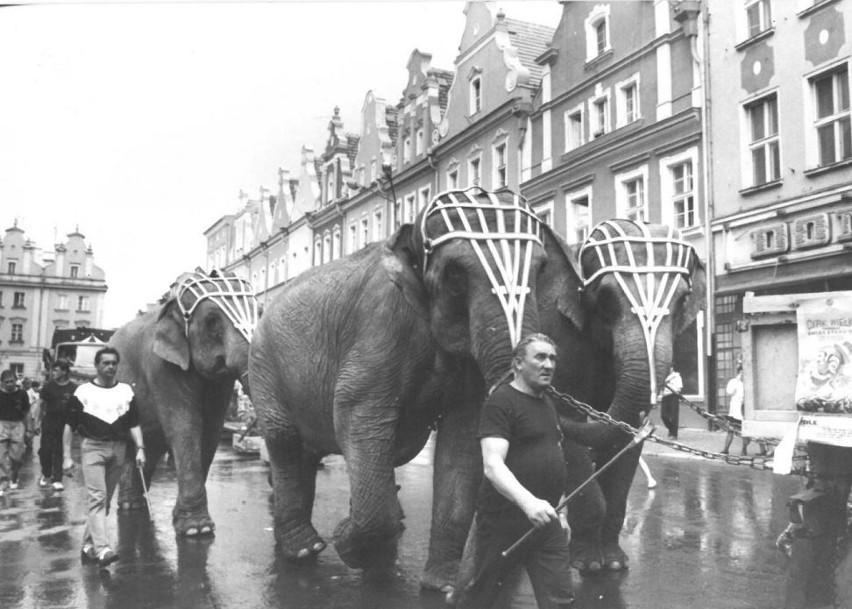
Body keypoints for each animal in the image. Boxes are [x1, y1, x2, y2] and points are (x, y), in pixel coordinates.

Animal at [111, 268, 256, 536]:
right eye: (212, 321)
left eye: (260, 312)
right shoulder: (161, 366)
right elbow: (186, 426)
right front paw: (196, 530)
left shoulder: (221, 384)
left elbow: (210, 431)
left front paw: (185, 521)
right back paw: (129, 505)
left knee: (151, 444)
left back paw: (136, 503)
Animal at [250, 186, 548, 584]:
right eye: (455, 276)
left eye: (542, 270)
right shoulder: (378, 326)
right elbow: (357, 416)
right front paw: (348, 541)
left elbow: (464, 435)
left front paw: (443, 584)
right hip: (263, 366)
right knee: (284, 440)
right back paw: (305, 549)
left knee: (308, 453)